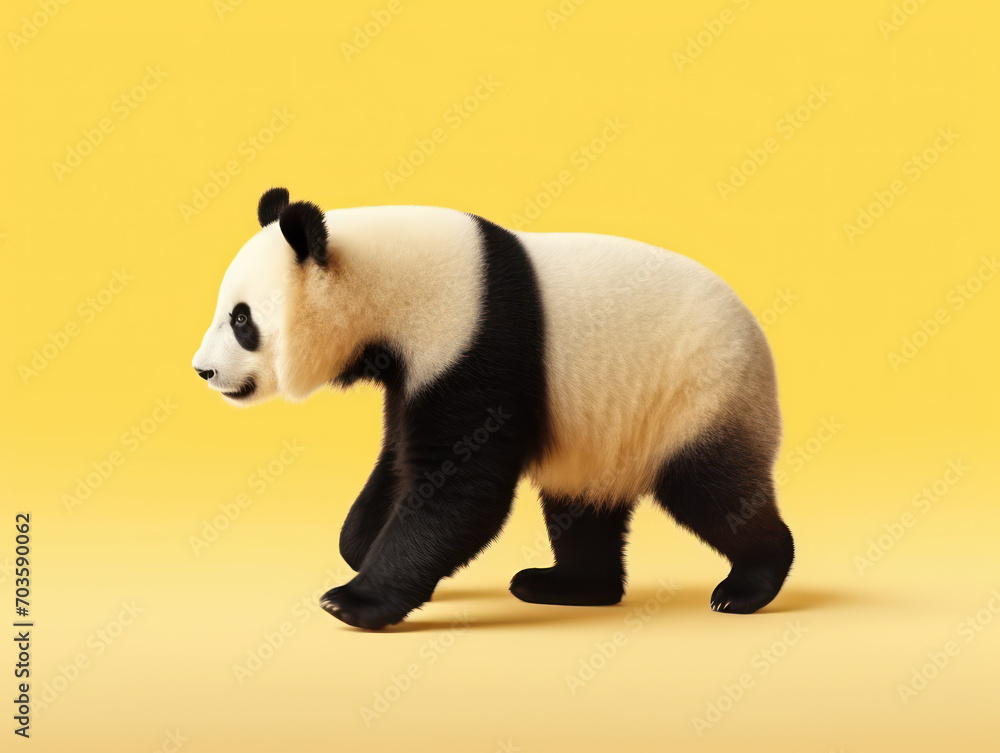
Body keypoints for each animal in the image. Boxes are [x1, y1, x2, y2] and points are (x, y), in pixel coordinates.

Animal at [192, 187, 794, 630]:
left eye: (242, 320)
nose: (204, 371)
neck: (385, 277)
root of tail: (757, 336)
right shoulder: (414, 367)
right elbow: (400, 456)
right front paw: (361, 544)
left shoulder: (474, 337)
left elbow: (460, 485)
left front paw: (353, 600)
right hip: (603, 432)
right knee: (581, 505)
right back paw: (566, 585)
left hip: (700, 391)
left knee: (714, 490)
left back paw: (747, 585)